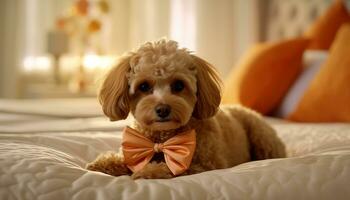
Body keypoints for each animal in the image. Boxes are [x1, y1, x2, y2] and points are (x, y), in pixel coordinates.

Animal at [86, 39, 286, 180]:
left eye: (178, 85)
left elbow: (173, 168)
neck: (162, 139)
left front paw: (149, 172)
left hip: (263, 139)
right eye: (143, 86)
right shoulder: (135, 150)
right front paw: (101, 164)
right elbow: (124, 161)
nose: (163, 109)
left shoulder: (206, 165)